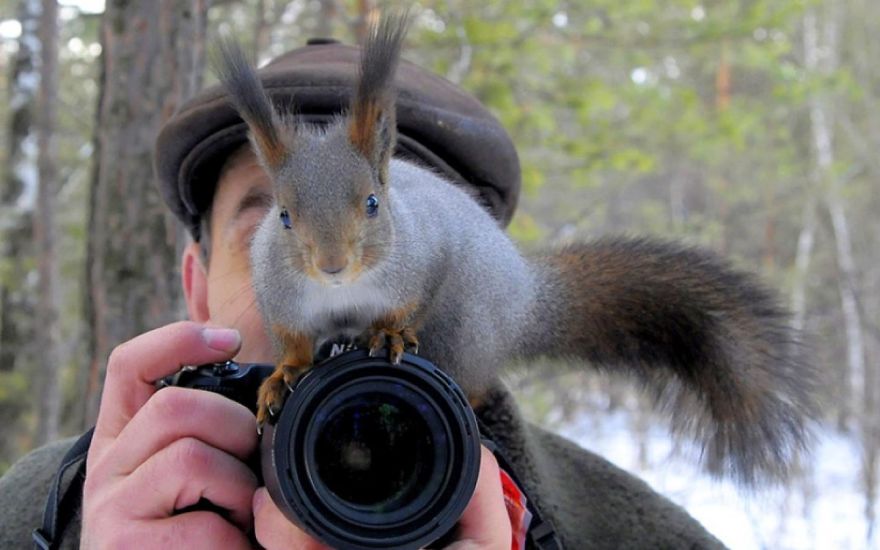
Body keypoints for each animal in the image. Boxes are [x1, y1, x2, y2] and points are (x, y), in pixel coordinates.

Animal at [218, 14, 820, 488]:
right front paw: (283, 376)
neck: (345, 293)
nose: (332, 266)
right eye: (283, 215)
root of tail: (526, 298)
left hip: (465, 328)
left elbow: (407, 305)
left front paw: (387, 333)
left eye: (372, 202)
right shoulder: (282, 300)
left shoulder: (425, 260)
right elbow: (295, 343)